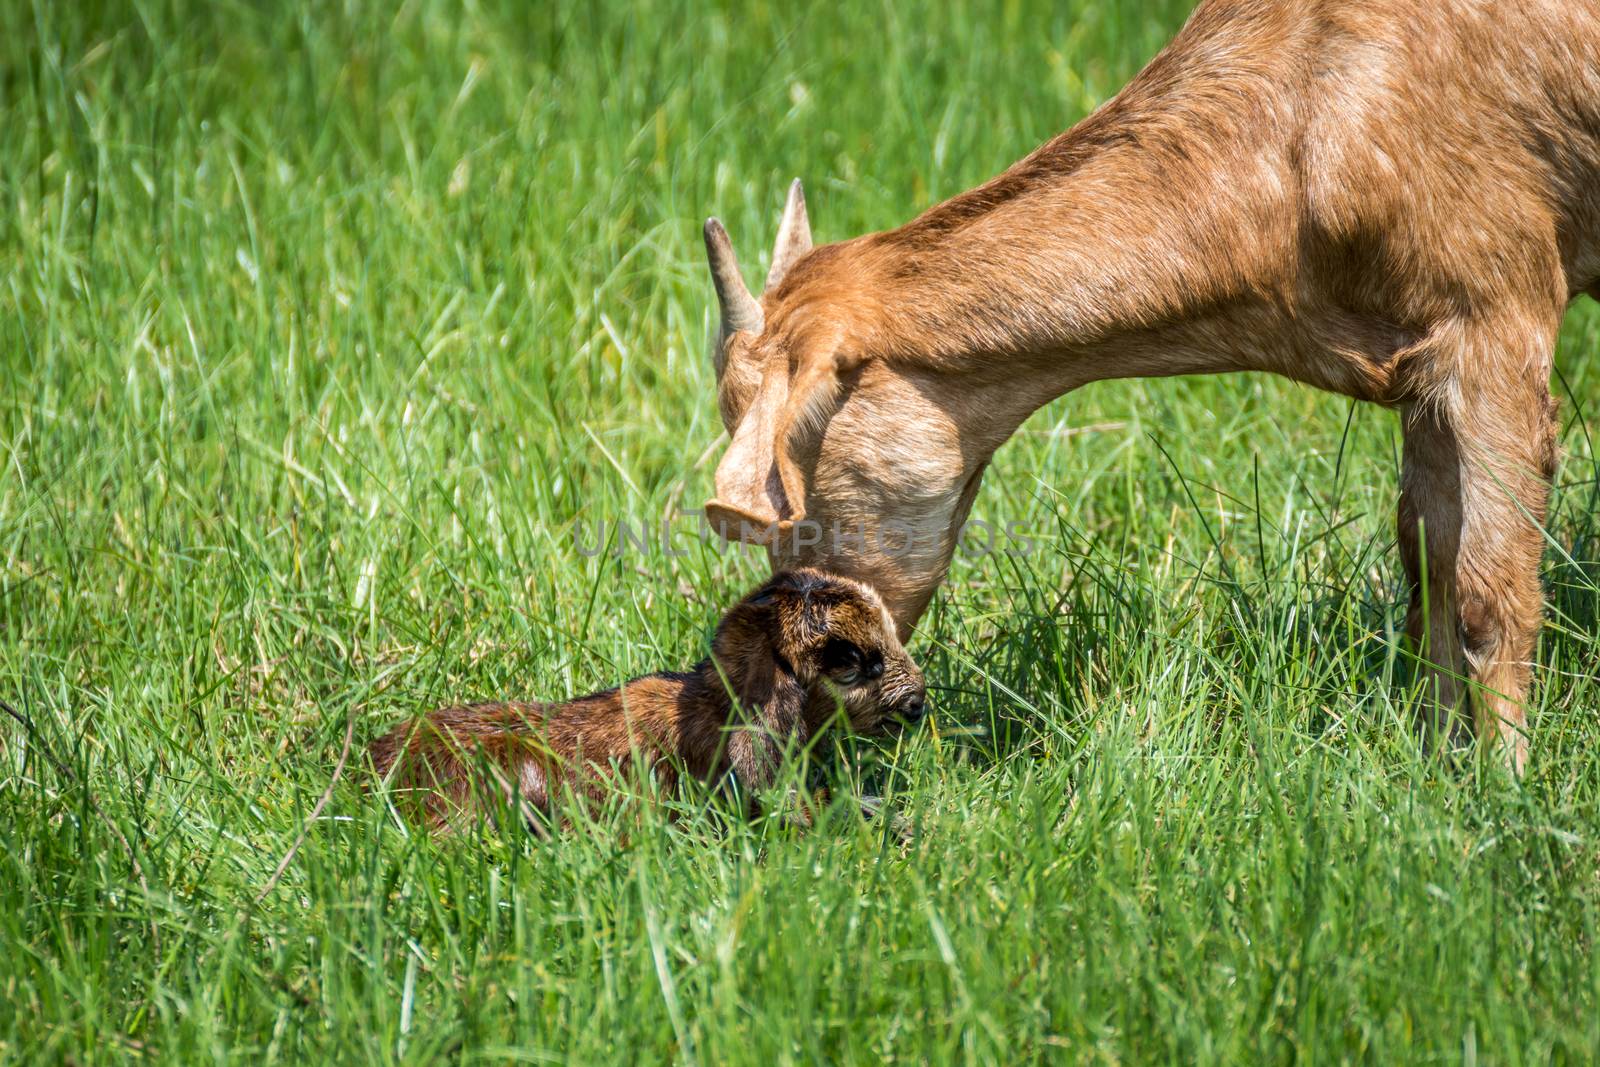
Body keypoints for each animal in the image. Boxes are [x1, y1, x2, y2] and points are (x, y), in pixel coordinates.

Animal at [700, 0, 1600, 771]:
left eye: (788, 481)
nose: (810, 691)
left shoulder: (1500, 308)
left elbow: (1488, 593)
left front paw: (1500, 790)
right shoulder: (1422, 371)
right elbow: (1428, 569)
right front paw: (1437, 761)